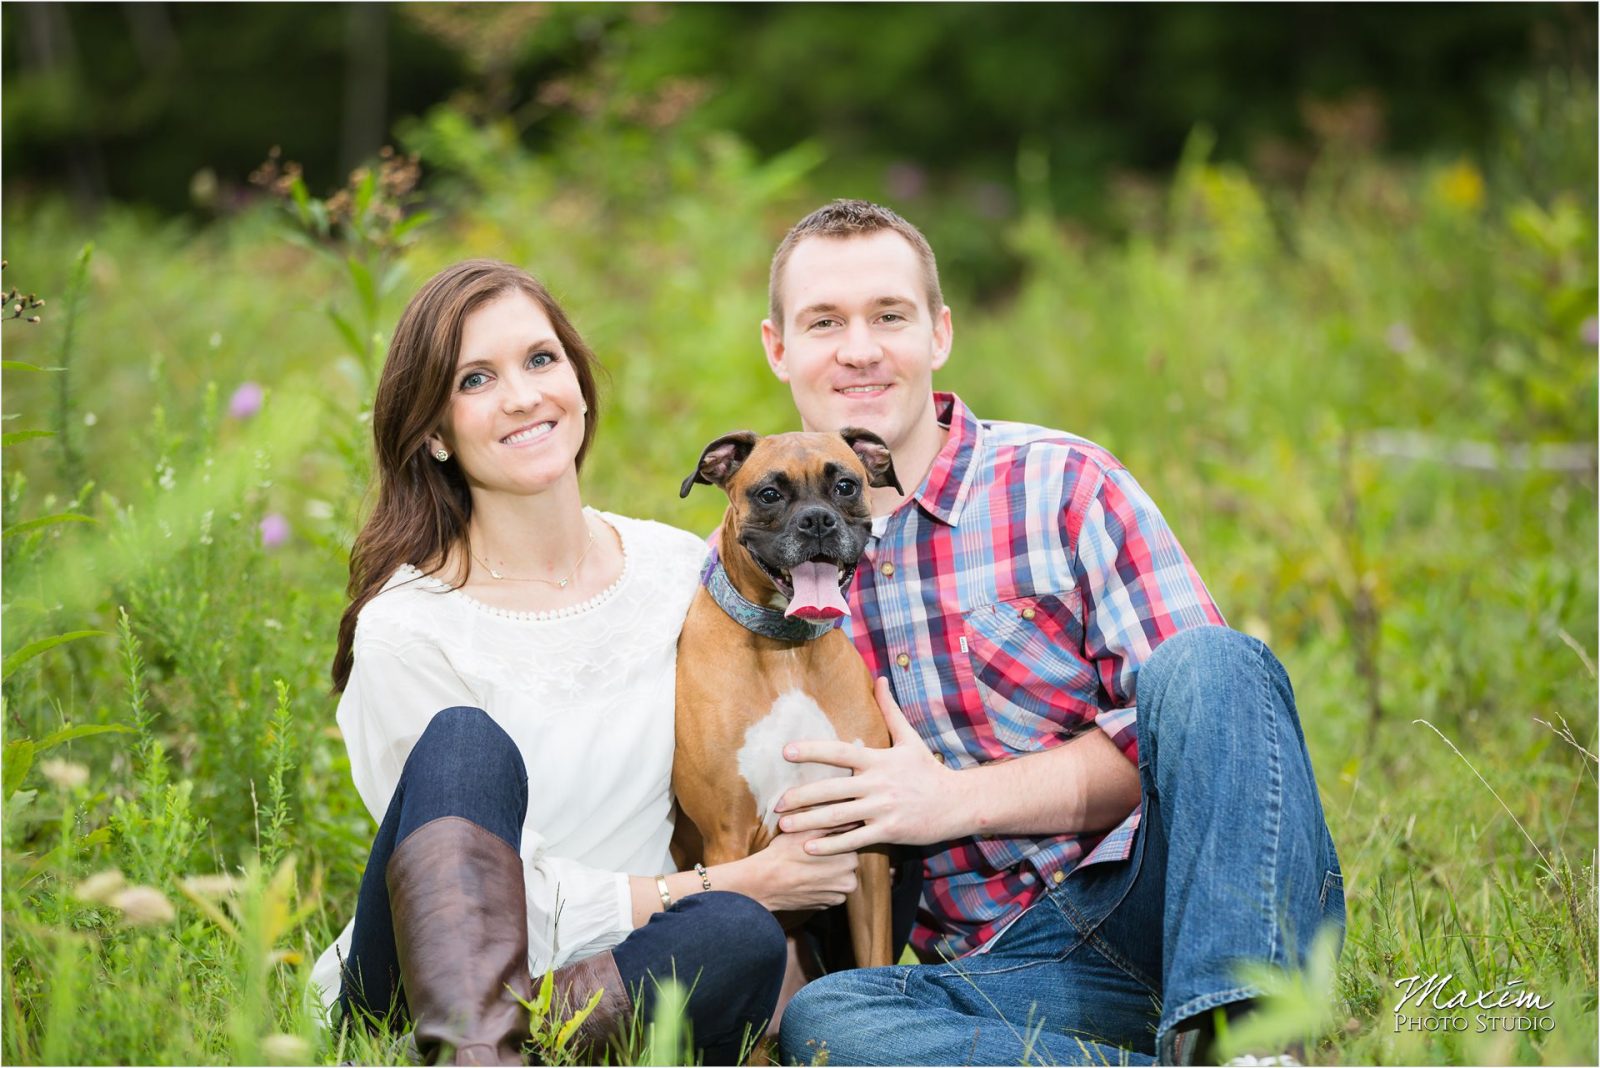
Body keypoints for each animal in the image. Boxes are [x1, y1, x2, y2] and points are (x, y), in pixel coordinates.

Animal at [675, 425, 902, 965]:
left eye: (846, 486)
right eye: (769, 494)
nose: (817, 520)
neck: (787, 652)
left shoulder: (866, 843)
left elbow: (874, 955)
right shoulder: (728, 839)